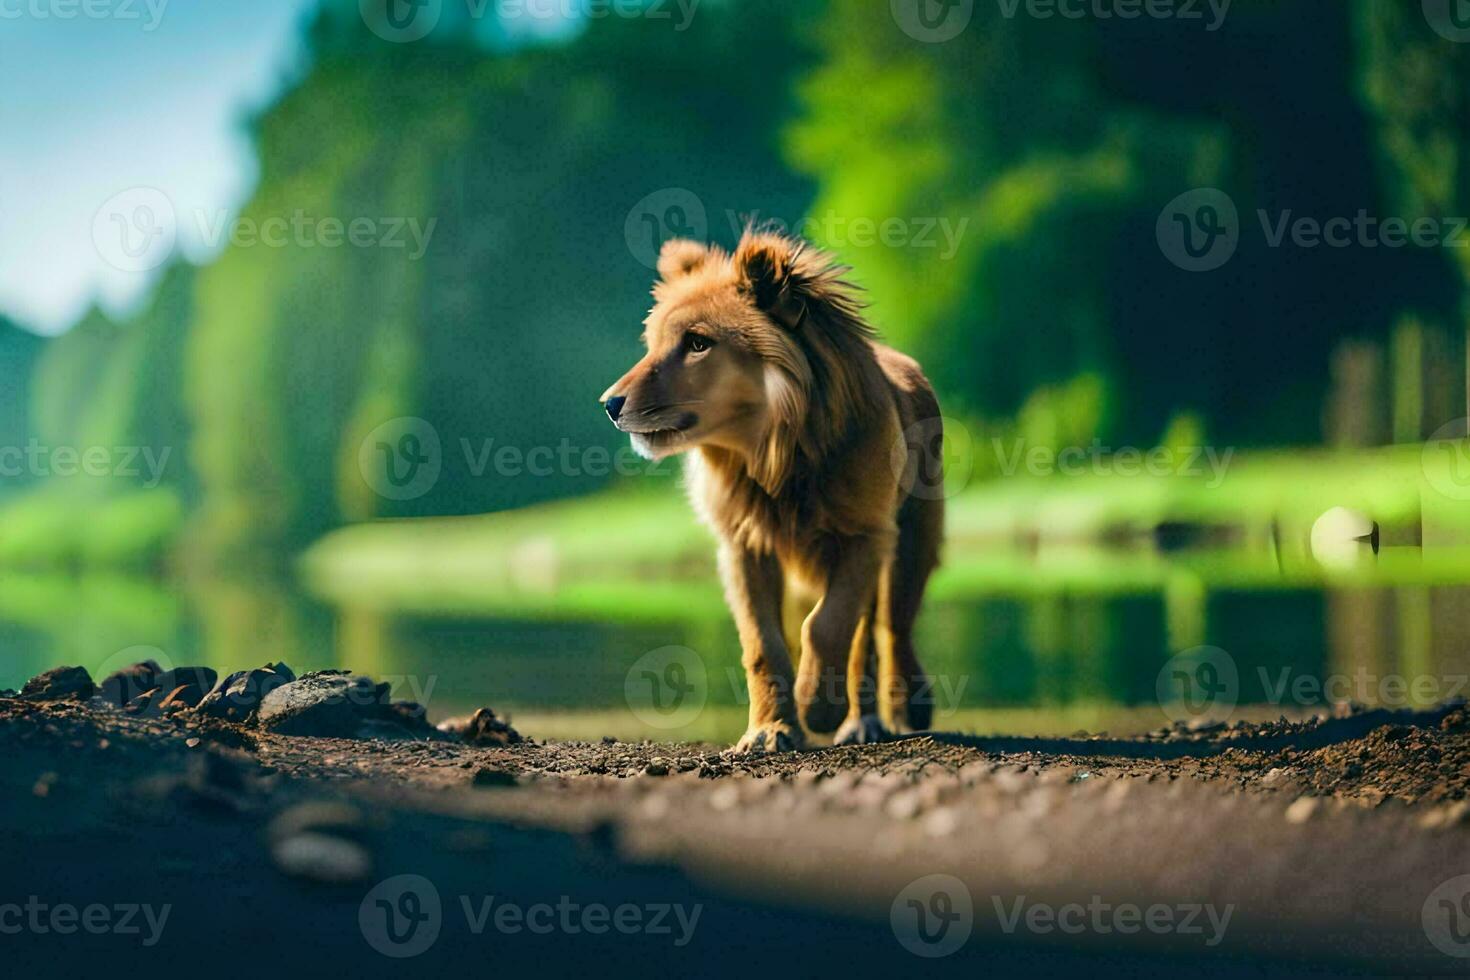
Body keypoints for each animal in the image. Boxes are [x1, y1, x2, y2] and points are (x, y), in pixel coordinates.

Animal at [602, 233, 946, 758]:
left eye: (697, 343)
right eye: (654, 344)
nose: (609, 404)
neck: (774, 456)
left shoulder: (867, 535)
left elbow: (828, 627)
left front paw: (818, 707)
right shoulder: (744, 547)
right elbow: (764, 645)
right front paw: (771, 729)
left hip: (911, 546)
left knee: (891, 629)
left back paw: (888, 711)